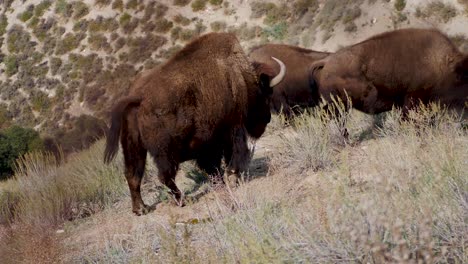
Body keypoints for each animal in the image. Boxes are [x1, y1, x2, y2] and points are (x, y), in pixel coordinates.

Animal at [103, 32, 286, 214]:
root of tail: (139, 97)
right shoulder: (232, 128)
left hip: (134, 148)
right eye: (265, 93)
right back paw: (181, 200)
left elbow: (212, 166)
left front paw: (221, 182)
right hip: (165, 152)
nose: (267, 119)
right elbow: (233, 154)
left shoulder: (208, 143)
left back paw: (141, 208)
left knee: (133, 175)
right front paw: (233, 178)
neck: (240, 76)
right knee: (164, 176)